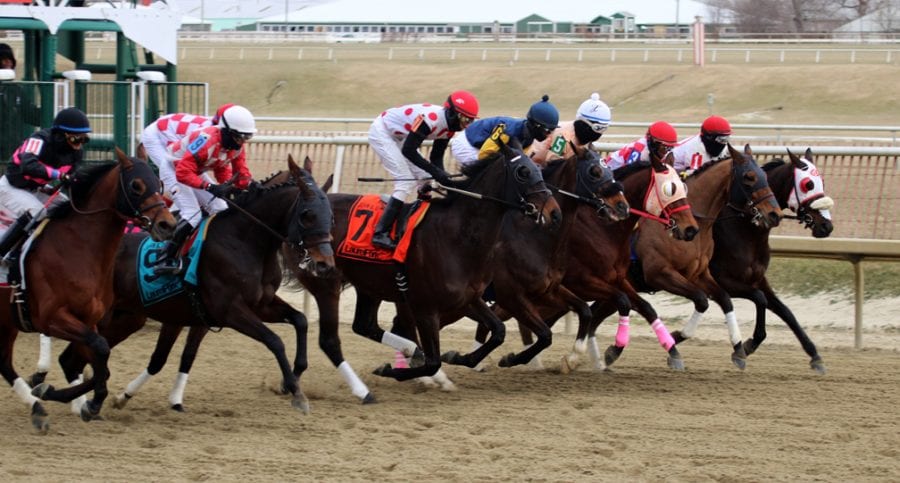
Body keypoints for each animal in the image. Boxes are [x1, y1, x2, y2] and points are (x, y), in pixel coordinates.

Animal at [0, 149, 176, 432]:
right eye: (136, 186)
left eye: (158, 184)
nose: (167, 225)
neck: (78, 247)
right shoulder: (52, 319)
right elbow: (99, 352)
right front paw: (84, 401)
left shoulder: (89, 320)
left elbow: (98, 361)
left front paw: (66, 397)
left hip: (7, 322)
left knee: (4, 362)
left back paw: (37, 408)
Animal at [50, 157, 338, 414]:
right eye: (307, 214)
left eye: (331, 215)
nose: (324, 263)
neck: (244, 239)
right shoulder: (229, 310)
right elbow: (274, 340)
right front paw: (296, 391)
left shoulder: (259, 305)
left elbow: (300, 320)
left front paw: (296, 374)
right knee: (74, 357)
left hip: (125, 318)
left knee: (73, 360)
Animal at [636, 144, 784, 370]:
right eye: (749, 177)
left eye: (764, 175)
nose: (775, 214)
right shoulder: (662, 273)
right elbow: (707, 299)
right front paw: (675, 341)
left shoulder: (702, 275)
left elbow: (732, 299)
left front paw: (741, 348)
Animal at [712, 147, 836, 374]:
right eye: (808, 184)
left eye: (822, 180)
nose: (826, 226)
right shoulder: (721, 279)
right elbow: (760, 299)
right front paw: (746, 346)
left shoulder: (757, 278)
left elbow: (785, 311)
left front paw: (814, 354)